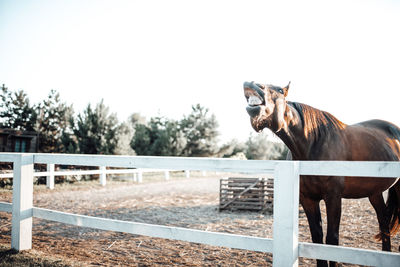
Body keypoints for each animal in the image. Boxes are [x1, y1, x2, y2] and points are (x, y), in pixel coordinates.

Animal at [244, 81, 400, 267]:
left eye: (280, 90)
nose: (251, 84)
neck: (313, 144)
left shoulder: (333, 197)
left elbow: (332, 240)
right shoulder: (308, 199)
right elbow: (317, 238)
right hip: (374, 193)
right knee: (384, 223)